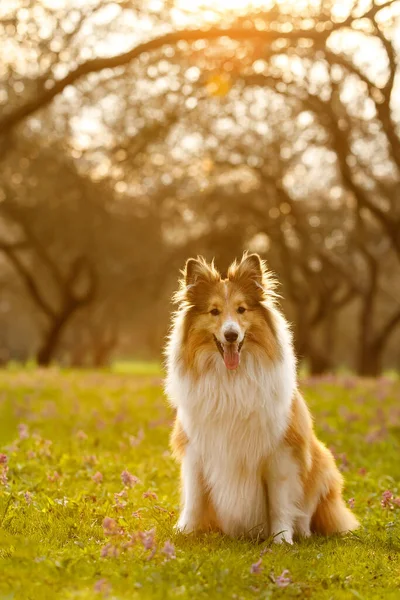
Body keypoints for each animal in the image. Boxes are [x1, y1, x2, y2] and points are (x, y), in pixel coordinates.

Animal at [164, 253, 358, 544]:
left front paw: (282, 540)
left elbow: (280, 502)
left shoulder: (280, 452)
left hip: (322, 462)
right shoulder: (196, 450)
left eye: (242, 310)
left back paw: (302, 532)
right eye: (214, 311)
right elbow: (195, 498)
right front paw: (184, 532)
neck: (231, 380)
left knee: (307, 512)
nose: (231, 335)